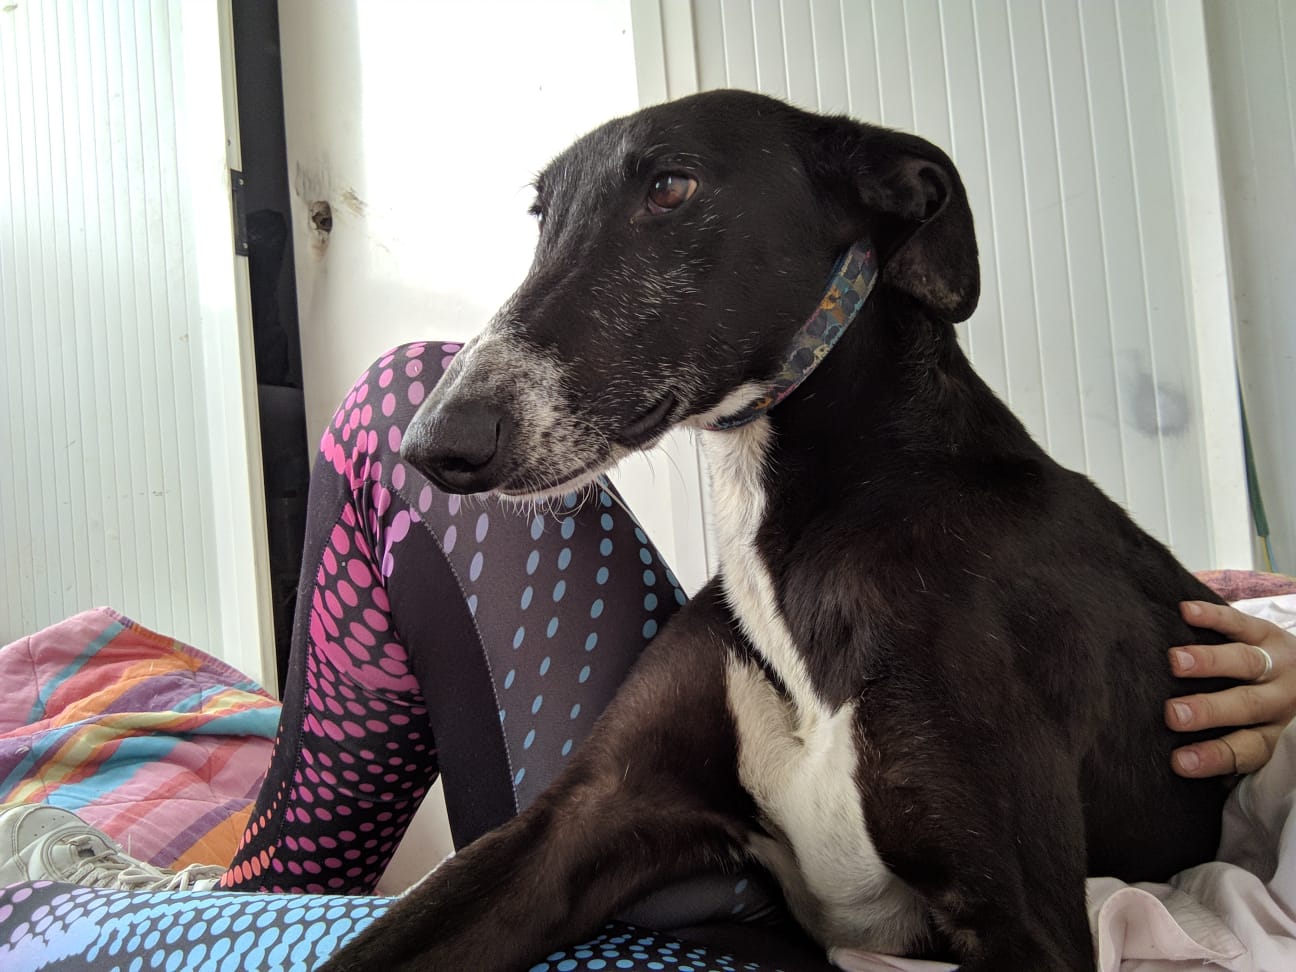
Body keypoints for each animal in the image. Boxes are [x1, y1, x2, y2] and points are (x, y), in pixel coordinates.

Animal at [320, 89, 1236, 971]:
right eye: (543, 216)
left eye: (671, 187)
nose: (431, 445)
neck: (807, 533)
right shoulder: (581, 817)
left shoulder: (1020, 918)